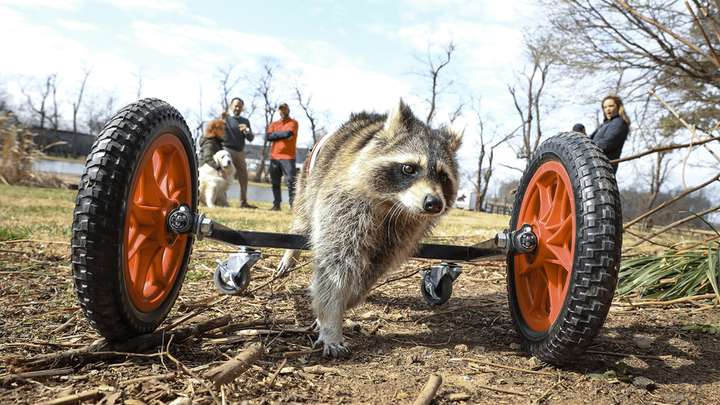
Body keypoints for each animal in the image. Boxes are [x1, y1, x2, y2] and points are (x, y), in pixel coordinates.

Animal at [276, 99, 462, 356]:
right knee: (302, 217)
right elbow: (335, 265)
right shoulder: (344, 204)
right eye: (409, 168)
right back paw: (291, 251)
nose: (434, 203)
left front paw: (351, 298)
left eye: (444, 177)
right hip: (308, 180)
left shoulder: (405, 229)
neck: (393, 204)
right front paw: (331, 319)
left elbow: (375, 267)